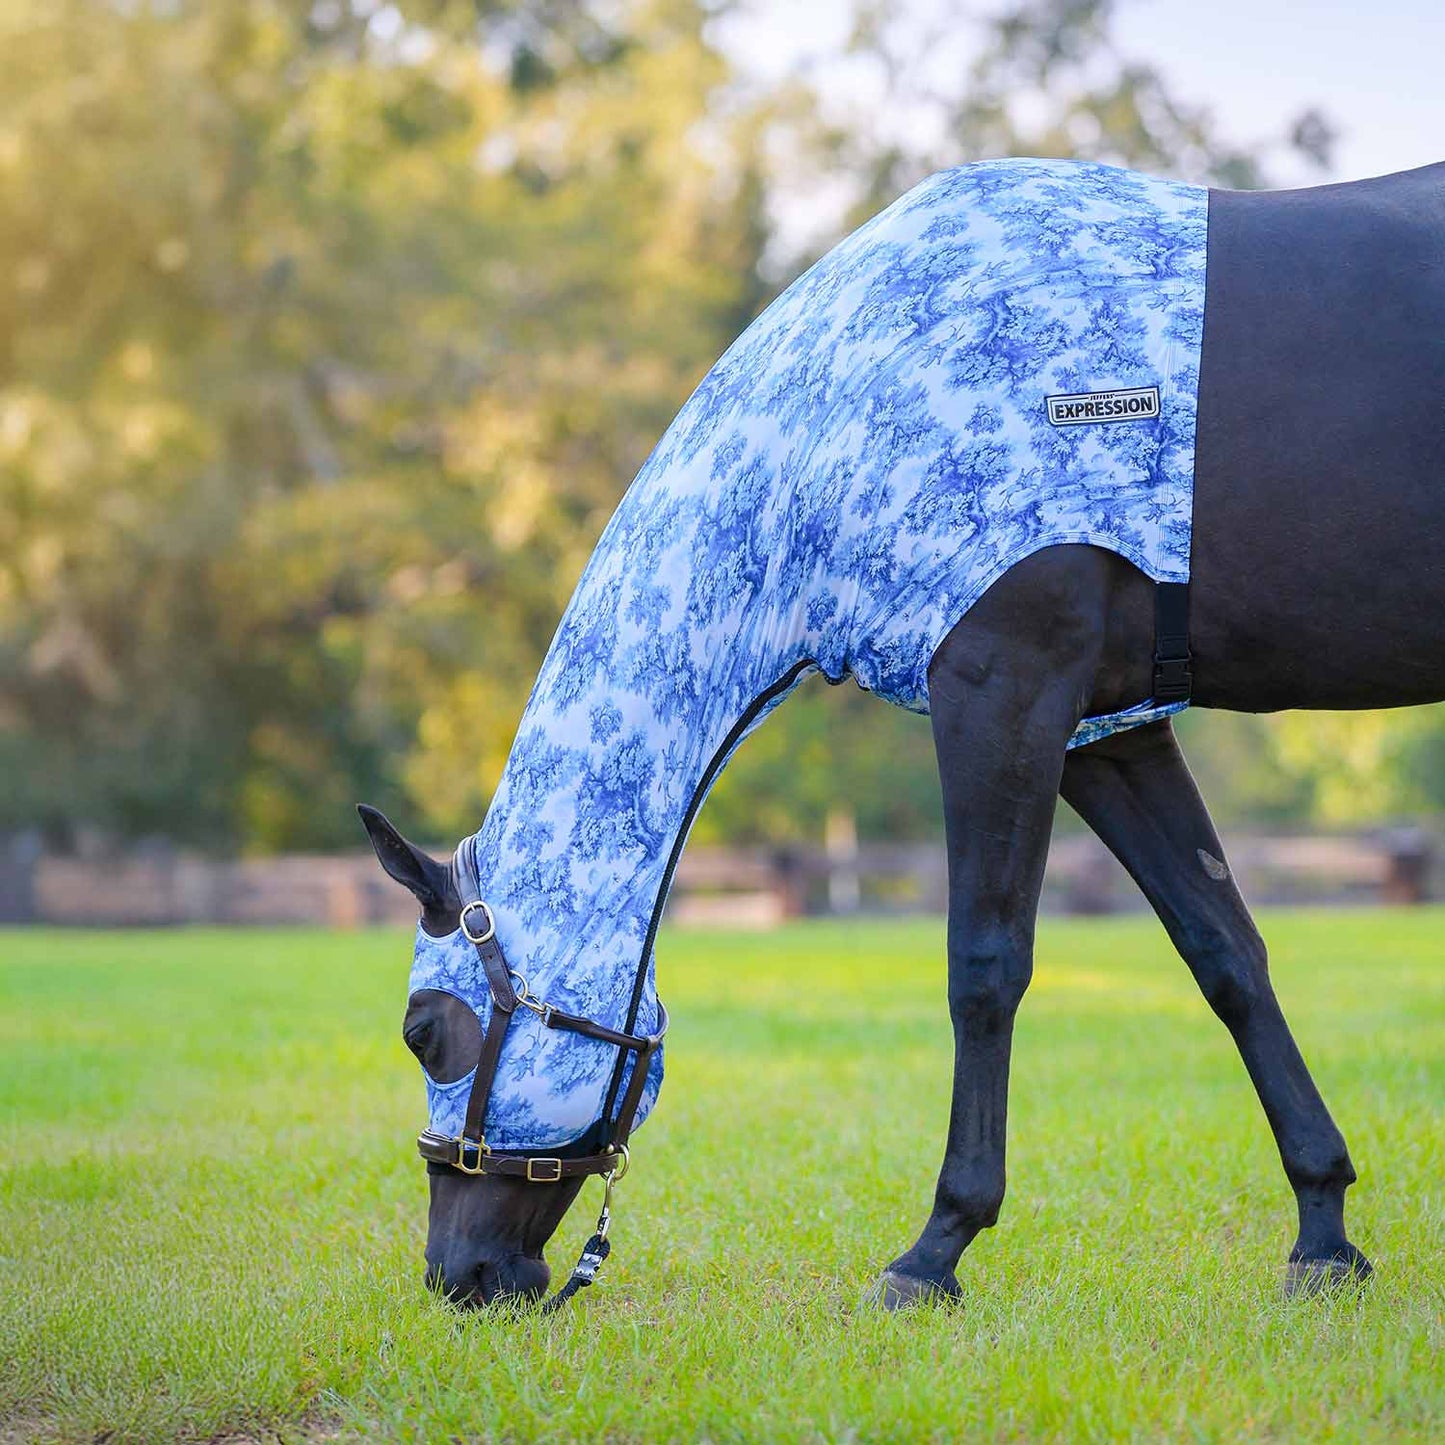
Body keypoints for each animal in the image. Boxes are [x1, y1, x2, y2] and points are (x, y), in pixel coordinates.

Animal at [360, 156, 1445, 1311]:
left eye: (423, 1031)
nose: (460, 1275)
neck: (837, 408)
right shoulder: (1106, 732)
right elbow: (1224, 953)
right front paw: (1323, 1229)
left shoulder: (1002, 692)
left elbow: (983, 965)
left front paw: (934, 1247)